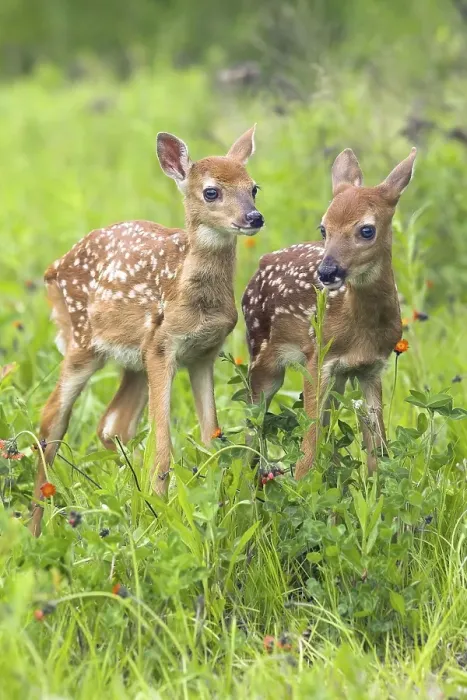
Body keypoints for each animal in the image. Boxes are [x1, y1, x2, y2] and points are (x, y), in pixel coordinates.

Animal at [30, 126, 264, 536]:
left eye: (253, 188)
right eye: (211, 191)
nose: (254, 217)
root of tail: (53, 268)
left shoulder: (203, 354)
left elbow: (211, 439)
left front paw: (210, 505)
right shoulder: (162, 347)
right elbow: (163, 447)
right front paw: (164, 517)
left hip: (132, 359)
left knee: (112, 425)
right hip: (82, 342)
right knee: (52, 418)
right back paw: (35, 528)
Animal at [242, 147, 416, 479]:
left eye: (366, 230)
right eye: (324, 228)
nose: (326, 272)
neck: (360, 329)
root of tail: (260, 264)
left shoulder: (372, 367)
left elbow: (378, 448)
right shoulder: (317, 359)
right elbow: (308, 448)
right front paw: (300, 487)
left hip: (339, 379)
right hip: (262, 353)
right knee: (252, 425)